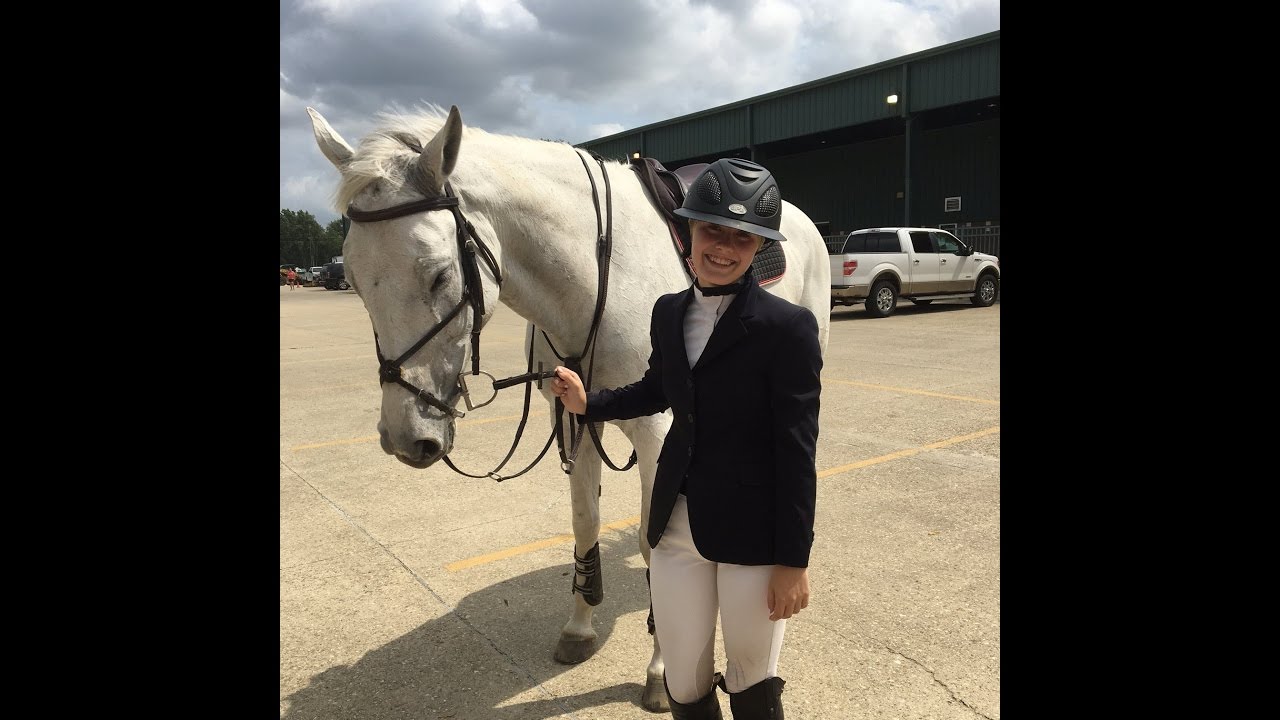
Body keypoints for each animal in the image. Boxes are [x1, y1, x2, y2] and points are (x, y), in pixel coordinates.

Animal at [307, 103, 831, 712]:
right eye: (353, 278)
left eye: (439, 275)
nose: (404, 436)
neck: (598, 274)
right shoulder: (575, 417)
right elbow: (585, 526)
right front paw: (580, 629)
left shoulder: (660, 435)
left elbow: (656, 549)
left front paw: (660, 671)